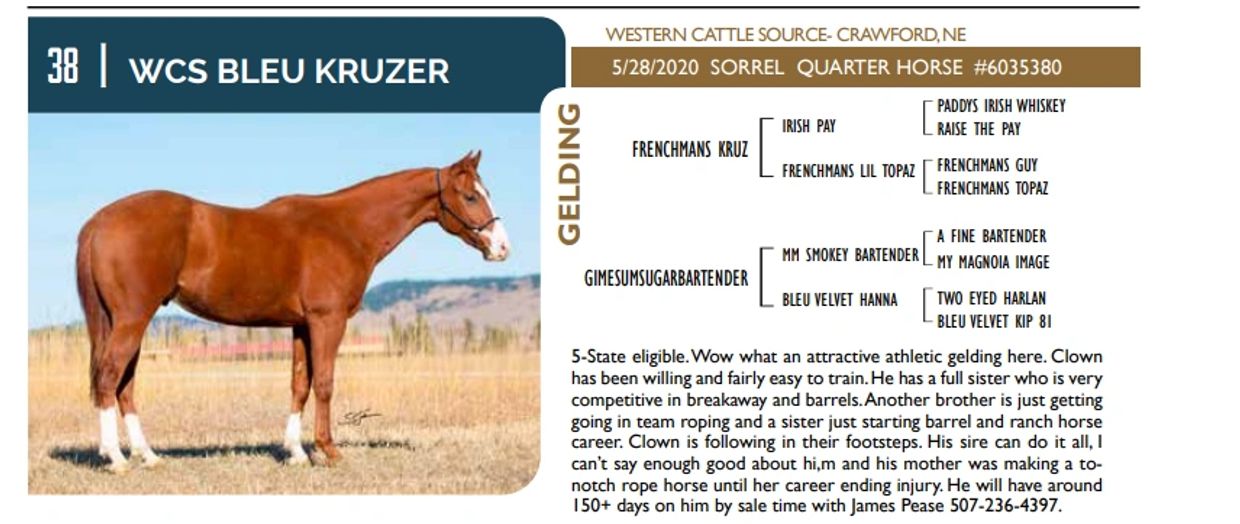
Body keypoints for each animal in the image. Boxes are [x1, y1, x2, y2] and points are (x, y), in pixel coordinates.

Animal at [74, 151, 509, 473]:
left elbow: (300, 383)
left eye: (486, 191)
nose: (502, 247)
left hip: (122, 321)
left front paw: (296, 452)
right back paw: (115, 459)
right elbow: (326, 383)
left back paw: (147, 456)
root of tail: (99, 220)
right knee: (110, 378)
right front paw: (328, 451)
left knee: (124, 385)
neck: (346, 229)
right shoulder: (327, 321)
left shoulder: (302, 325)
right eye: (471, 196)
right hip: (132, 319)